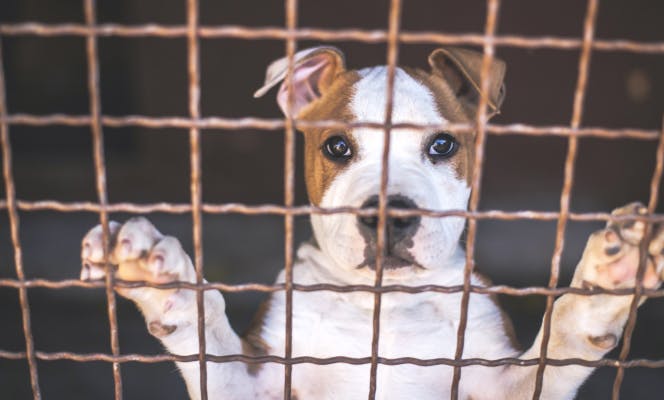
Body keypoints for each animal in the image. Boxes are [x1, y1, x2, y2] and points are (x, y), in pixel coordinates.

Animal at [79, 46, 664, 396]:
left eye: (443, 145)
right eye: (337, 146)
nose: (390, 214)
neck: (385, 301)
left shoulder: (493, 381)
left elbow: (554, 347)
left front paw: (608, 284)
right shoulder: (261, 379)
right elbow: (211, 340)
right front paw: (163, 281)